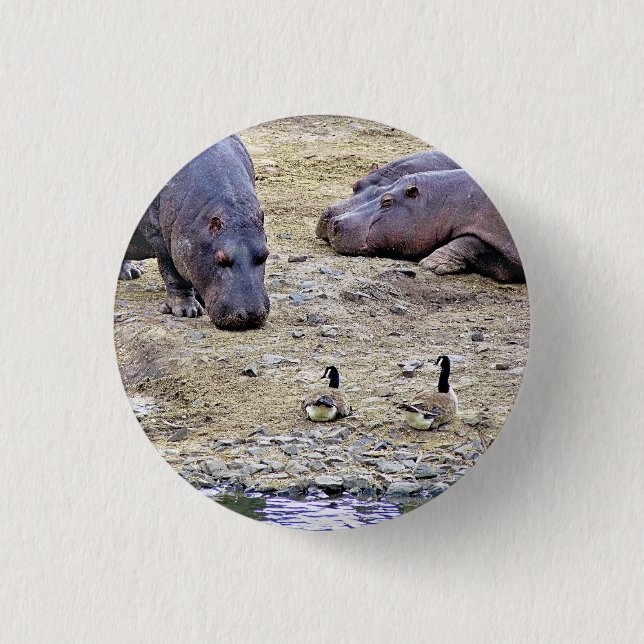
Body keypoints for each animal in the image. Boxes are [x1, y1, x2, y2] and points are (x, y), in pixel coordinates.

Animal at [119, 135, 270, 329]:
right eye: (220, 258)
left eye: (265, 254)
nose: (250, 315)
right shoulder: (161, 240)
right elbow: (173, 273)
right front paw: (186, 311)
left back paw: (130, 274)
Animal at [327, 169, 524, 283]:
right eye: (381, 191)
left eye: (387, 201)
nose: (334, 221)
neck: (442, 200)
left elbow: (470, 243)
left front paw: (431, 263)